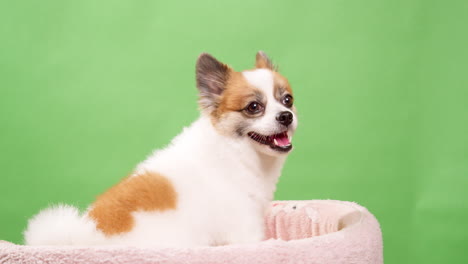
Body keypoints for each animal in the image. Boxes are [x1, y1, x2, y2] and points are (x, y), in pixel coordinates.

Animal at [23, 51, 298, 248]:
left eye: (287, 100)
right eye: (254, 107)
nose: (286, 116)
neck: (236, 151)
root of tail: (88, 237)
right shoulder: (243, 226)